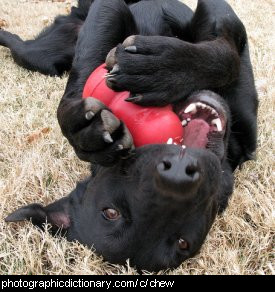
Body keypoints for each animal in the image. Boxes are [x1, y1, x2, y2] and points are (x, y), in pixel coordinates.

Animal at [1, 0, 258, 272]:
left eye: (183, 242)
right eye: (111, 212)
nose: (177, 174)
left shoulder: (221, 15)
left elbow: (228, 52)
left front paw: (164, 68)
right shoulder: (106, 15)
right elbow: (81, 79)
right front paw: (84, 130)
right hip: (39, 56)